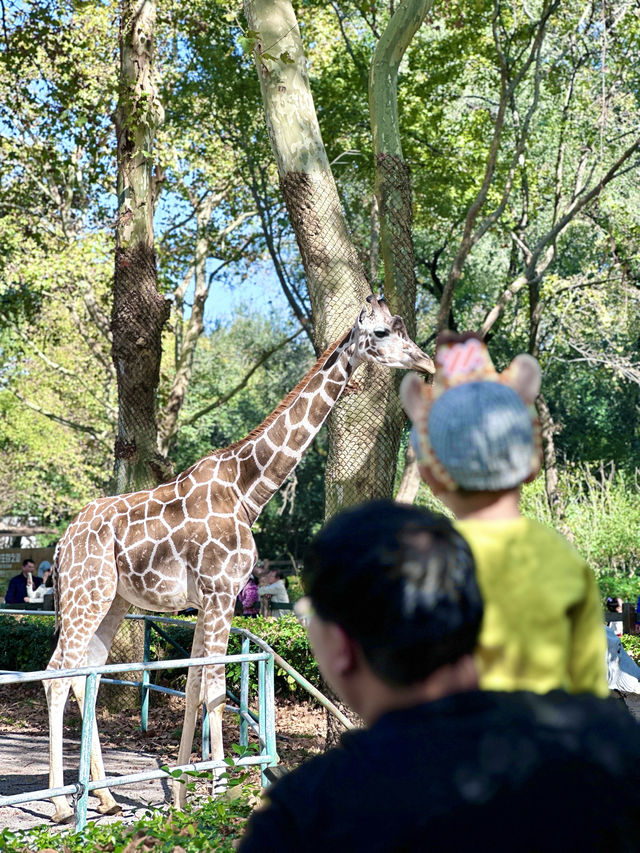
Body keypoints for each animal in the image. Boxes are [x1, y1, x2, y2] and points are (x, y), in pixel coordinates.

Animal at [46, 292, 436, 820]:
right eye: (380, 333)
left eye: (401, 326)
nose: (426, 362)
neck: (249, 491)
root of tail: (61, 542)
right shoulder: (218, 594)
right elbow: (213, 689)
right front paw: (216, 792)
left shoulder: (213, 599)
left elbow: (195, 687)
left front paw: (184, 793)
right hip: (84, 594)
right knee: (56, 676)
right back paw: (62, 806)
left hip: (114, 601)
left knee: (86, 674)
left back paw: (104, 798)